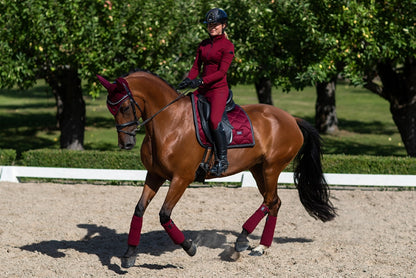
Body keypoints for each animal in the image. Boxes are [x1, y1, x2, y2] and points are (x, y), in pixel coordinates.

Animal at [96, 69, 336, 268]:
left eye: (124, 107)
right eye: (110, 109)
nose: (126, 144)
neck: (169, 122)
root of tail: (291, 119)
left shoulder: (181, 178)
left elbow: (164, 215)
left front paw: (189, 247)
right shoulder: (154, 174)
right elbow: (139, 210)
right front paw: (129, 255)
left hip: (271, 168)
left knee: (269, 201)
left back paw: (241, 241)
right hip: (258, 170)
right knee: (274, 202)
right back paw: (260, 247)